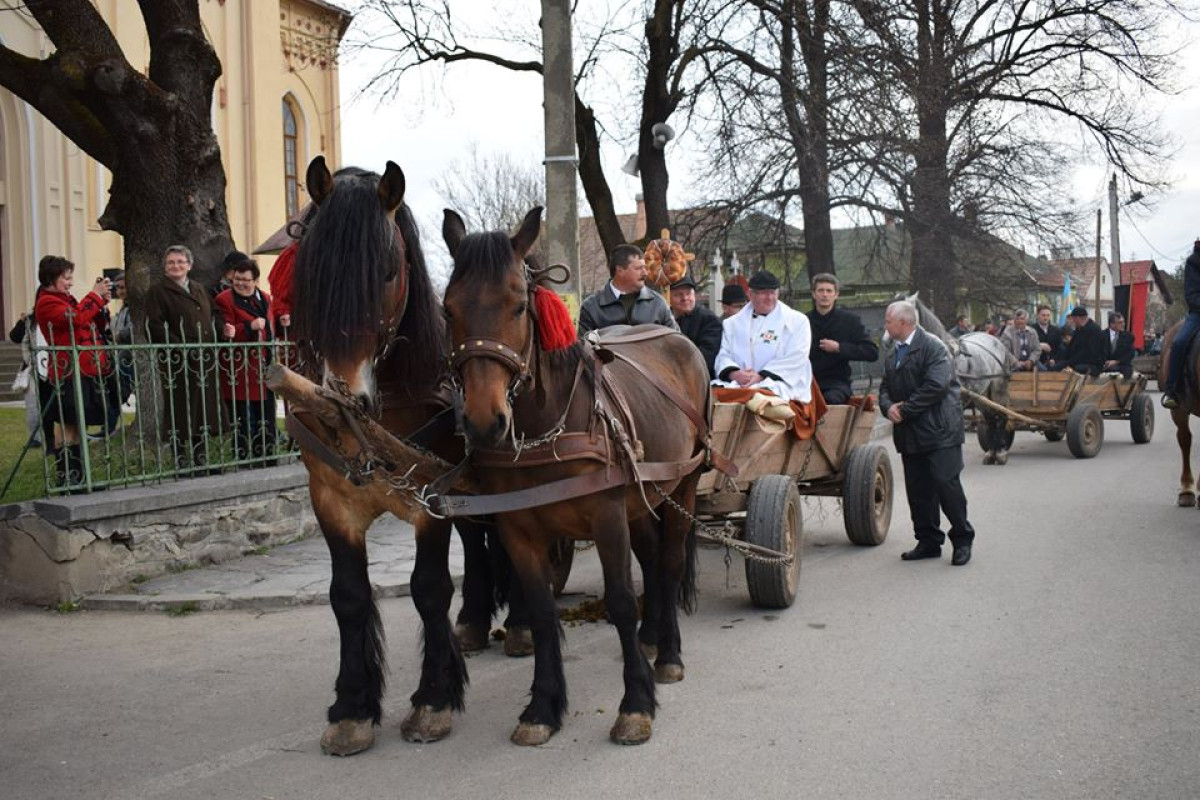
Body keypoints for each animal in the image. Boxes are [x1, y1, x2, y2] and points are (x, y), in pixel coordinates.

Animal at [292, 158, 523, 758]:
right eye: (311, 270)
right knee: (479, 540)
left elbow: (428, 588)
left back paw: (520, 627)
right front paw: (352, 707)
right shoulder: (331, 498)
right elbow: (348, 596)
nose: (344, 398)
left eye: (389, 271)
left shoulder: (429, 500)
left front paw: (434, 700)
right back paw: (472, 622)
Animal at [439, 209, 705, 748]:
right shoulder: (519, 528)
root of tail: (674, 333)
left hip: (682, 485)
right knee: (652, 560)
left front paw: (635, 704)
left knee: (668, 563)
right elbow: (542, 611)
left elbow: (620, 600)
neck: (545, 428)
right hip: (641, 497)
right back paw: (651, 639)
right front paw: (542, 706)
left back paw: (667, 654)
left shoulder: (606, 517)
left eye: (520, 306)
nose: (483, 422)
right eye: (448, 310)